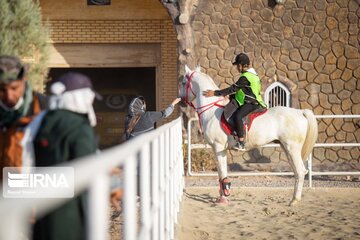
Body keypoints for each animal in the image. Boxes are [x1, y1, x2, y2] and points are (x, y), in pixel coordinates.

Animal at [180, 65, 318, 206]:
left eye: (183, 82)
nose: (181, 101)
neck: (211, 110)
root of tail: (300, 112)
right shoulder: (220, 149)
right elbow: (221, 172)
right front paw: (222, 195)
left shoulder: (218, 148)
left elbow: (222, 172)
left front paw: (223, 197)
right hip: (287, 148)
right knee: (296, 171)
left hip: (292, 148)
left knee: (300, 171)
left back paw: (294, 200)